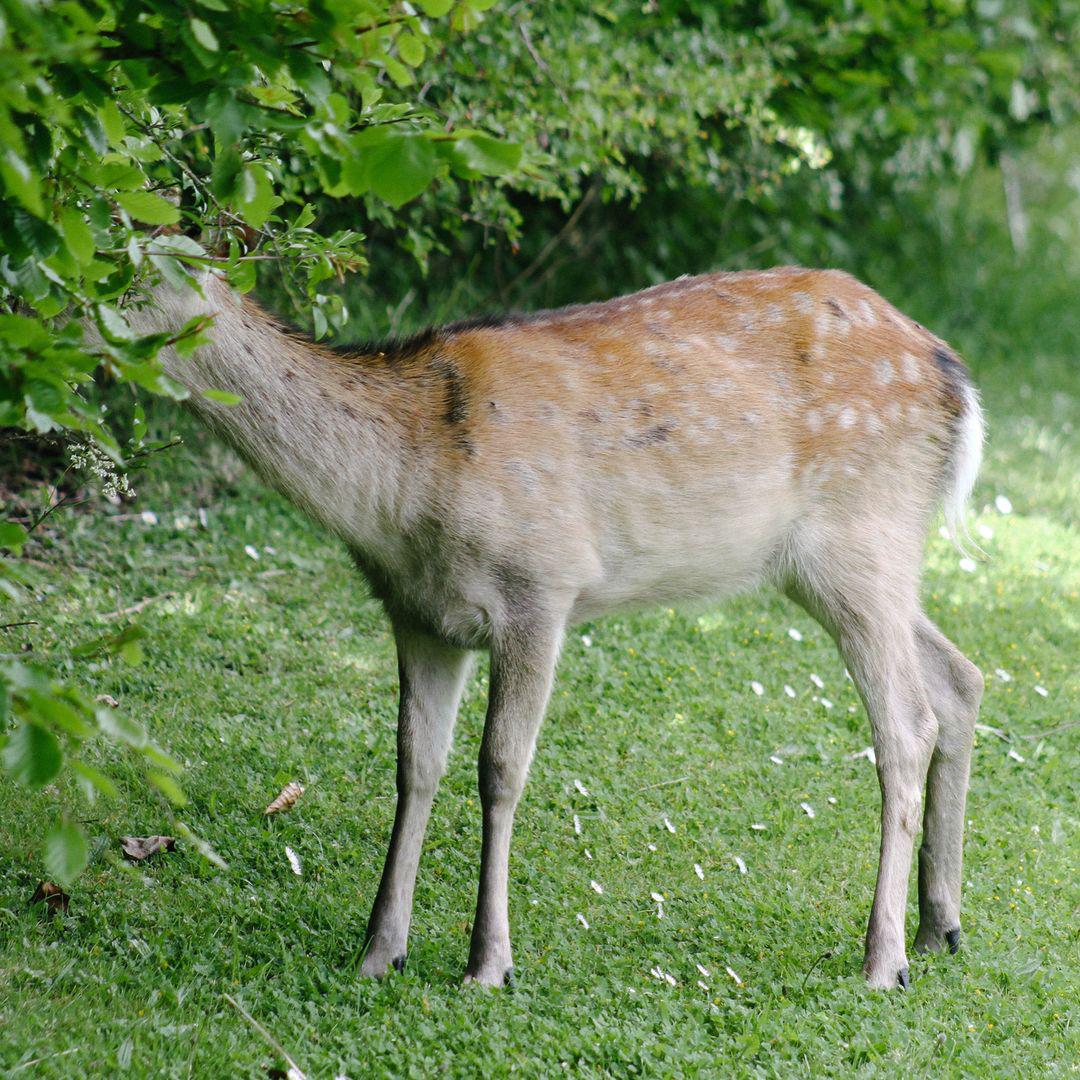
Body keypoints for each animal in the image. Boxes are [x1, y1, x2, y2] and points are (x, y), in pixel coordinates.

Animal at [121, 264, 985, 990]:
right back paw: (941, 925)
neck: (403, 492)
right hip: (844, 561)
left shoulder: (540, 586)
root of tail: (955, 376)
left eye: (135, 271)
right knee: (961, 676)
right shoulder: (419, 617)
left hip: (860, 533)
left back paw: (883, 960)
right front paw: (378, 949)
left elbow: (500, 768)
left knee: (906, 722)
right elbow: (414, 764)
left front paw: (488, 964)